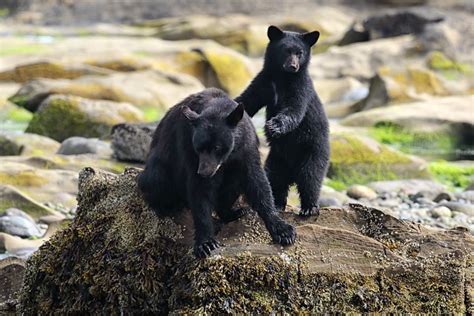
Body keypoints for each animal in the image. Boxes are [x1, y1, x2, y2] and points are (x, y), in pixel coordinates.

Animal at [136, 87, 296, 258]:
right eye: (199, 148)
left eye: (217, 148)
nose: (204, 172)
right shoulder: (188, 146)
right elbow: (199, 190)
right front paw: (205, 243)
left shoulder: (247, 146)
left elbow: (257, 182)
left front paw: (283, 231)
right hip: (159, 167)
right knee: (155, 180)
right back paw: (170, 206)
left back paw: (235, 212)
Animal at [234, 25, 330, 217]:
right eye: (286, 50)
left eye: (300, 53)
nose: (293, 66)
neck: (283, 78)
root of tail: (293, 172)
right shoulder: (264, 82)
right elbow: (247, 100)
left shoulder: (301, 87)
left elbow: (294, 109)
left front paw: (274, 126)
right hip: (276, 159)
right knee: (275, 179)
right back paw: (278, 204)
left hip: (314, 151)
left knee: (311, 177)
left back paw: (309, 207)